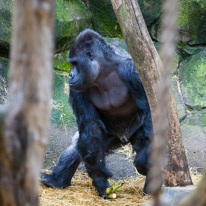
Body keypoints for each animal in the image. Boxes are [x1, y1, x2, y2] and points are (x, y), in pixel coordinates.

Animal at [41, 29, 152, 198]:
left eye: (75, 63)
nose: (70, 75)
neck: (104, 72)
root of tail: (125, 137)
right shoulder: (77, 89)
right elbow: (90, 128)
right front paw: (100, 181)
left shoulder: (133, 72)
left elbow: (151, 109)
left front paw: (143, 159)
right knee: (79, 145)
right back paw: (56, 180)